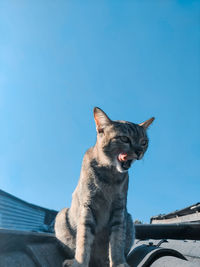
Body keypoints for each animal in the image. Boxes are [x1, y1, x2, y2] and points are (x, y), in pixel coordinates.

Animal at [54, 107, 155, 267]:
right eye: (125, 139)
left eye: (144, 142)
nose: (139, 151)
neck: (110, 175)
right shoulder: (87, 206)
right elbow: (83, 241)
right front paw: (79, 263)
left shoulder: (119, 209)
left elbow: (116, 242)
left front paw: (119, 263)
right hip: (61, 216)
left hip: (129, 220)